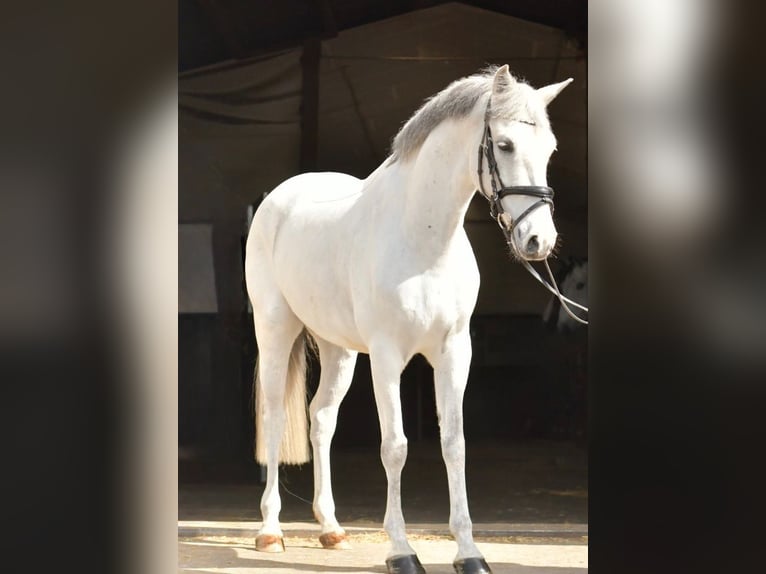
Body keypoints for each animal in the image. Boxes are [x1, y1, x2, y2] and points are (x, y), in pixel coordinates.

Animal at [244, 65, 573, 574]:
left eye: (550, 149)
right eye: (504, 145)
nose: (538, 240)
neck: (423, 238)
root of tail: (279, 197)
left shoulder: (455, 352)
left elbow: (454, 444)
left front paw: (469, 553)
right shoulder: (386, 357)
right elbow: (395, 447)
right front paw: (401, 550)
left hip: (339, 350)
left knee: (321, 420)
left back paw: (332, 529)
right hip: (276, 329)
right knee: (277, 416)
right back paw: (270, 531)